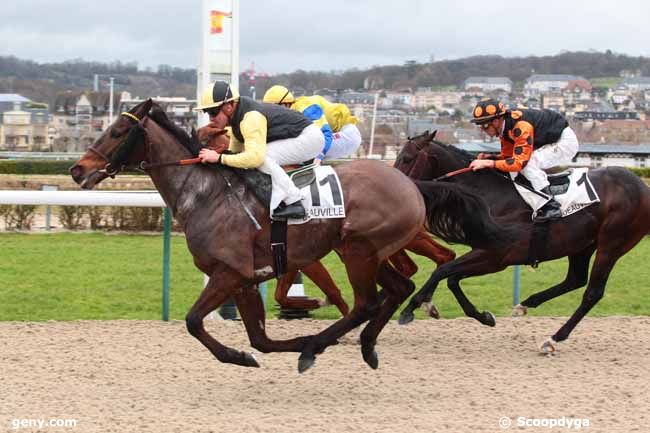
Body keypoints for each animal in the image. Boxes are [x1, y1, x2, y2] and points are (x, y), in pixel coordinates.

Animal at [69, 102, 502, 372]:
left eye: (118, 131)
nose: (77, 169)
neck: (209, 194)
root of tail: (411, 185)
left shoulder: (229, 273)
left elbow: (194, 322)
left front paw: (255, 350)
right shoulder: (245, 279)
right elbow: (259, 339)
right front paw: (257, 350)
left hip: (358, 250)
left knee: (369, 301)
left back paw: (319, 346)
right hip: (365, 251)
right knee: (397, 287)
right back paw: (364, 344)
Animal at [390, 131, 648, 352]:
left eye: (407, 158)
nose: (396, 189)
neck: (491, 197)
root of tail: (642, 187)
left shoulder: (496, 256)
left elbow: (442, 271)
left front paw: (411, 308)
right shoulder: (488, 256)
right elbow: (452, 278)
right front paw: (484, 317)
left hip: (611, 245)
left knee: (593, 292)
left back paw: (553, 339)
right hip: (582, 245)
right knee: (575, 279)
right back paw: (526, 304)